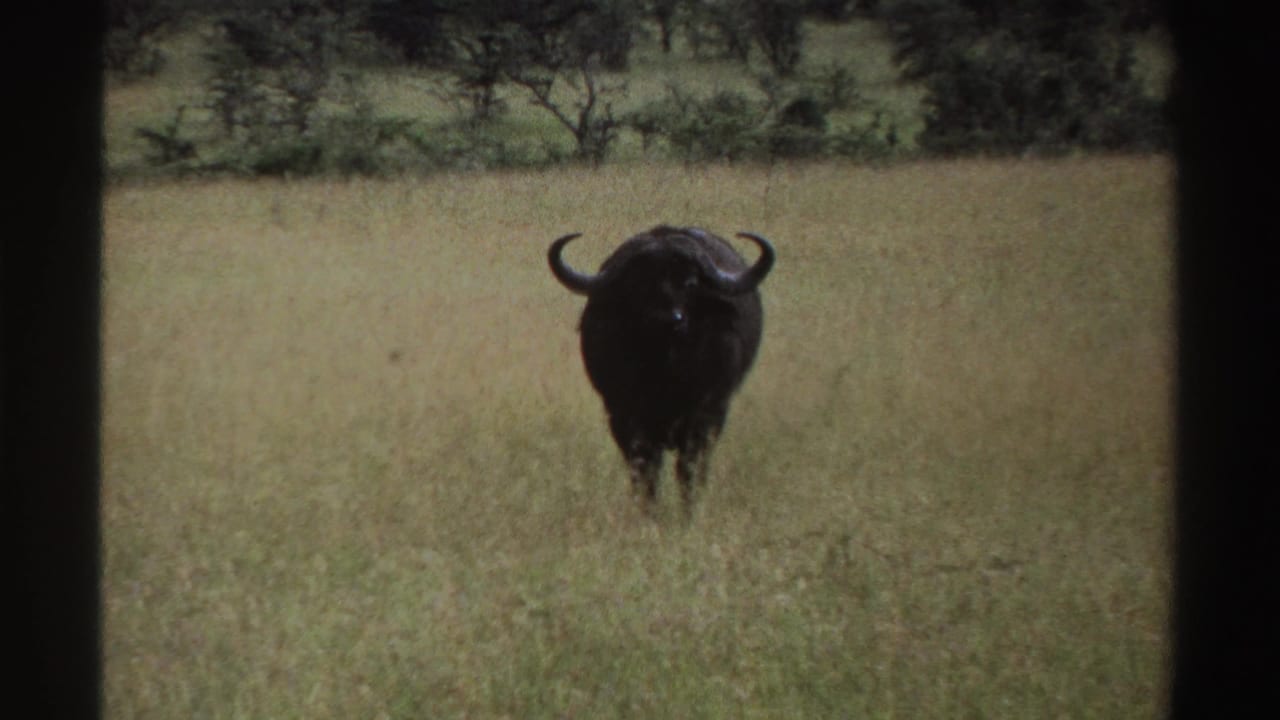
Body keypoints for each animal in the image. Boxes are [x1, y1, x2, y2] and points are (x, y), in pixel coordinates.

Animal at [548, 225, 775, 512]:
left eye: (690, 283)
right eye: (638, 283)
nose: (668, 320)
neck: (665, 369)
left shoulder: (705, 416)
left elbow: (689, 471)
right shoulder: (624, 417)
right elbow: (646, 471)